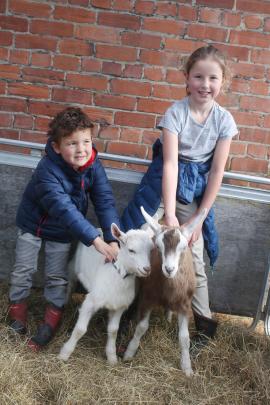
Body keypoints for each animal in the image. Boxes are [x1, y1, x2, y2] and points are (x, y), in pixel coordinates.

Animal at [57, 223, 153, 364]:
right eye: (131, 250)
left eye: (150, 251)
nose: (147, 269)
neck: (117, 276)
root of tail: (97, 228)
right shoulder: (90, 302)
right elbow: (80, 329)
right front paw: (64, 354)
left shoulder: (120, 306)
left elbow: (113, 331)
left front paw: (112, 357)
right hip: (72, 268)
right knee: (69, 286)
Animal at [123, 207, 206, 378]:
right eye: (158, 247)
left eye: (184, 247)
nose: (169, 269)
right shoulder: (147, 297)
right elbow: (141, 327)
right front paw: (129, 352)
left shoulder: (185, 304)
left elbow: (184, 337)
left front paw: (187, 368)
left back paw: (168, 316)